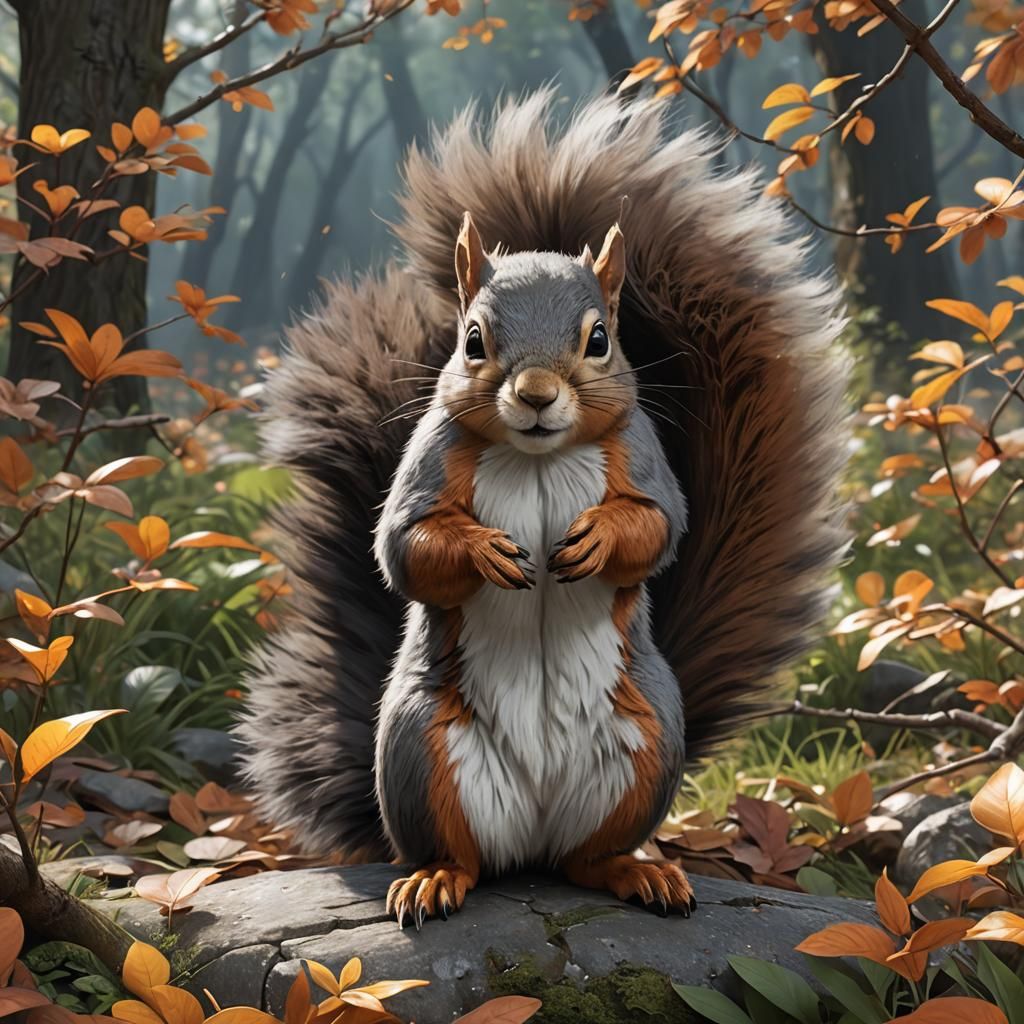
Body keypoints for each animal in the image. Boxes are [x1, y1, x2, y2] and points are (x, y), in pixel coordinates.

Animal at [238, 91, 849, 928]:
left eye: (600, 341)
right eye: (472, 340)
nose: (534, 395)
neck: (536, 459)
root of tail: (530, 841)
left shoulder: (642, 458)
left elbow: (660, 526)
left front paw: (597, 540)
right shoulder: (430, 461)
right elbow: (404, 545)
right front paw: (483, 551)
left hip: (646, 742)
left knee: (586, 858)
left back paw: (637, 873)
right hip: (422, 746)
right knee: (463, 853)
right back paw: (436, 878)